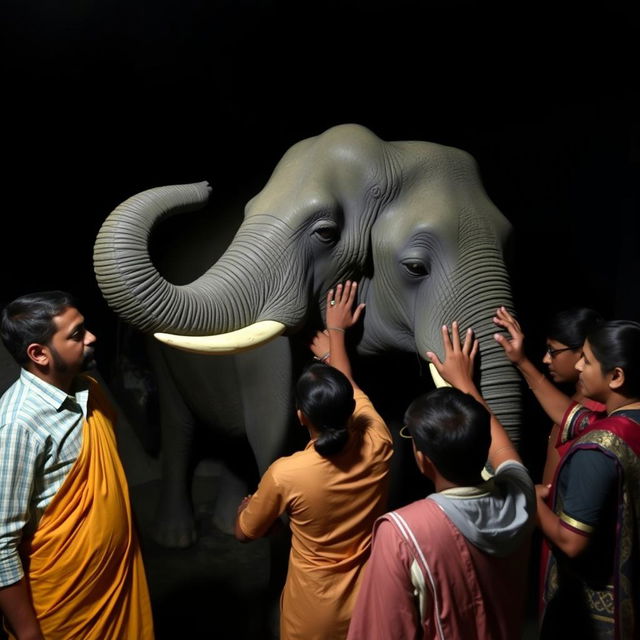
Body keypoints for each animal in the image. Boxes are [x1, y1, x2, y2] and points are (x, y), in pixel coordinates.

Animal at [94, 124, 520, 552]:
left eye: (326, 233)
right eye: (415, 268)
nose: (206, 185)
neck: (391, 153)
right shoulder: (266, 358)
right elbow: (268, 437)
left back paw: (224, 524)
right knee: (179, 425)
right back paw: (177, 539)